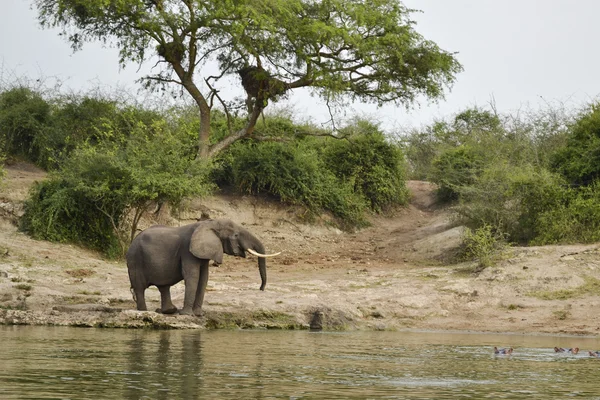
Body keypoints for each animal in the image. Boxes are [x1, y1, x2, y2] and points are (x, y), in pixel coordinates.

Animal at [125, 219, 280, 316]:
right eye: (236, 235)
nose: (261, 288)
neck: (209, 223)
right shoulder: (187, 251)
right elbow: (193, 277)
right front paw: (186, 315)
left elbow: (204, 278)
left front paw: (199, 314)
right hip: (135, 259)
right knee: (140, 287)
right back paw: (144, 312)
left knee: (164, 286)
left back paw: (169, 311)